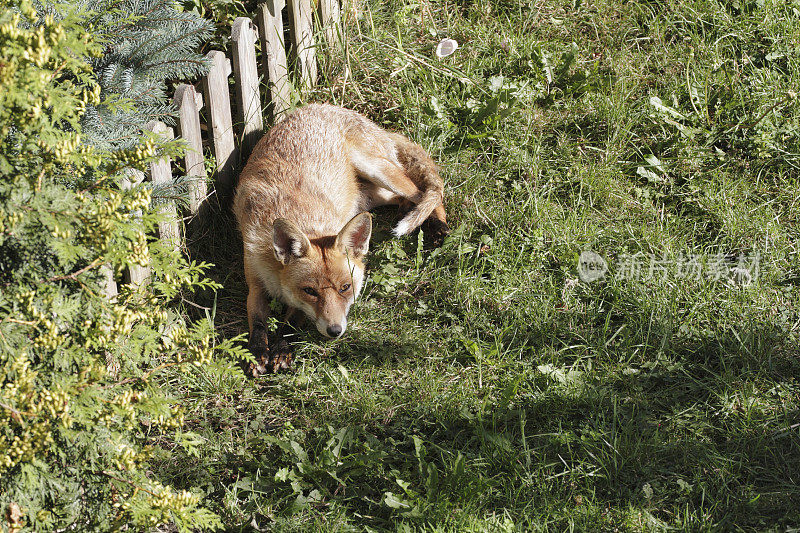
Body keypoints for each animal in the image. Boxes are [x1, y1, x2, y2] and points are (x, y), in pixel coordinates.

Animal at [233, 102, 450, 372]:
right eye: (310, 291)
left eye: (345, 287)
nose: (335, 331)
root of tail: (332, 107)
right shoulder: (254, 280)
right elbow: (257, 321)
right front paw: (257, 352)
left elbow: (293, 320)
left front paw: (282, 347)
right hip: (368, 195)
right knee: (407, 197)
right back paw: (408, 212)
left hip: (376, 170)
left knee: (427, 193)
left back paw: (438, 226)